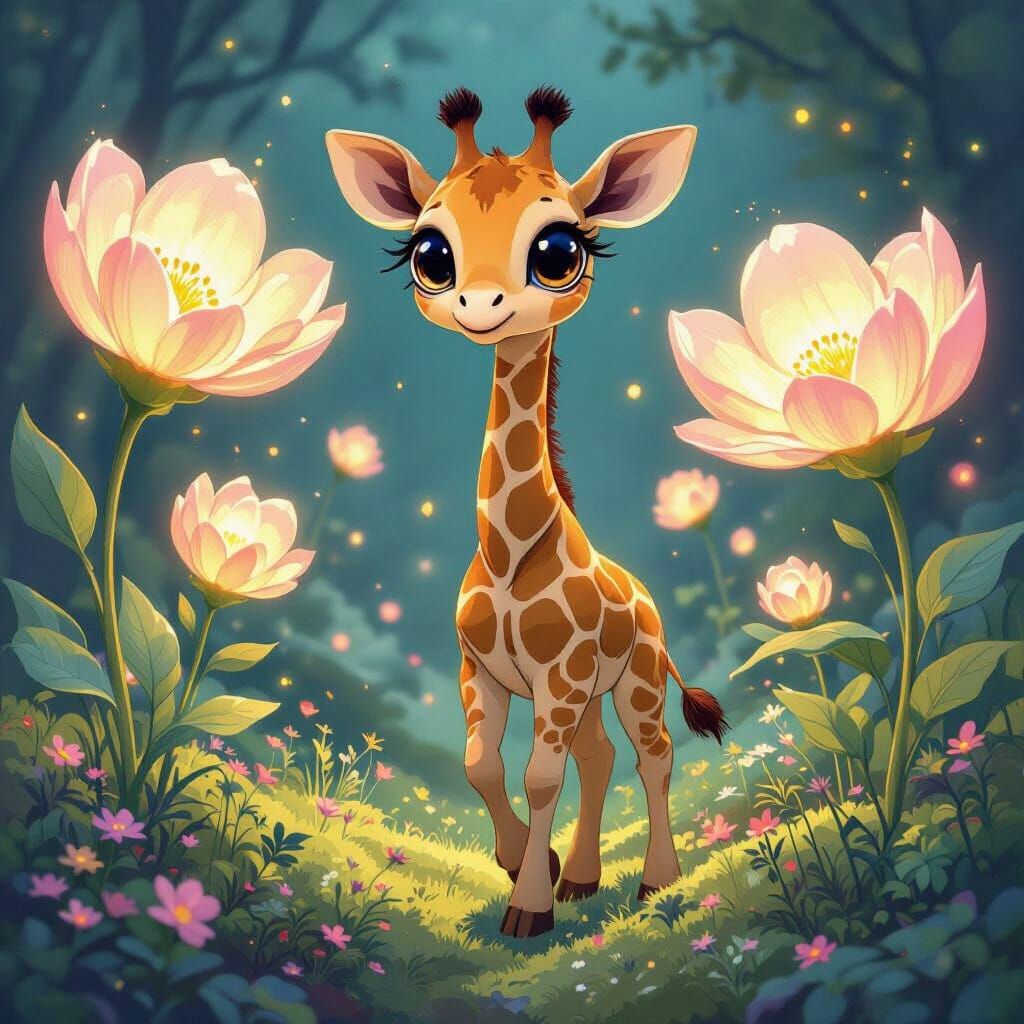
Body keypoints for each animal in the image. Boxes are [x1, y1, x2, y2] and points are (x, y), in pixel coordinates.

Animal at [326, 87, 727, 938]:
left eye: (558, 250)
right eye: (430, 254)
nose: (482, 305)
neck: (511, 552)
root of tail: (646, 596)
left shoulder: (561, 676)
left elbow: (541, 776)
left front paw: (528, 910)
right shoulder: (483, 671)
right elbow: (483, 765)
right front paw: (523, 864)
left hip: (635, 678)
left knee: (652, 756)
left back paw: (656, 883)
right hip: (587, 696)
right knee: (598, 758)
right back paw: (582, 878)